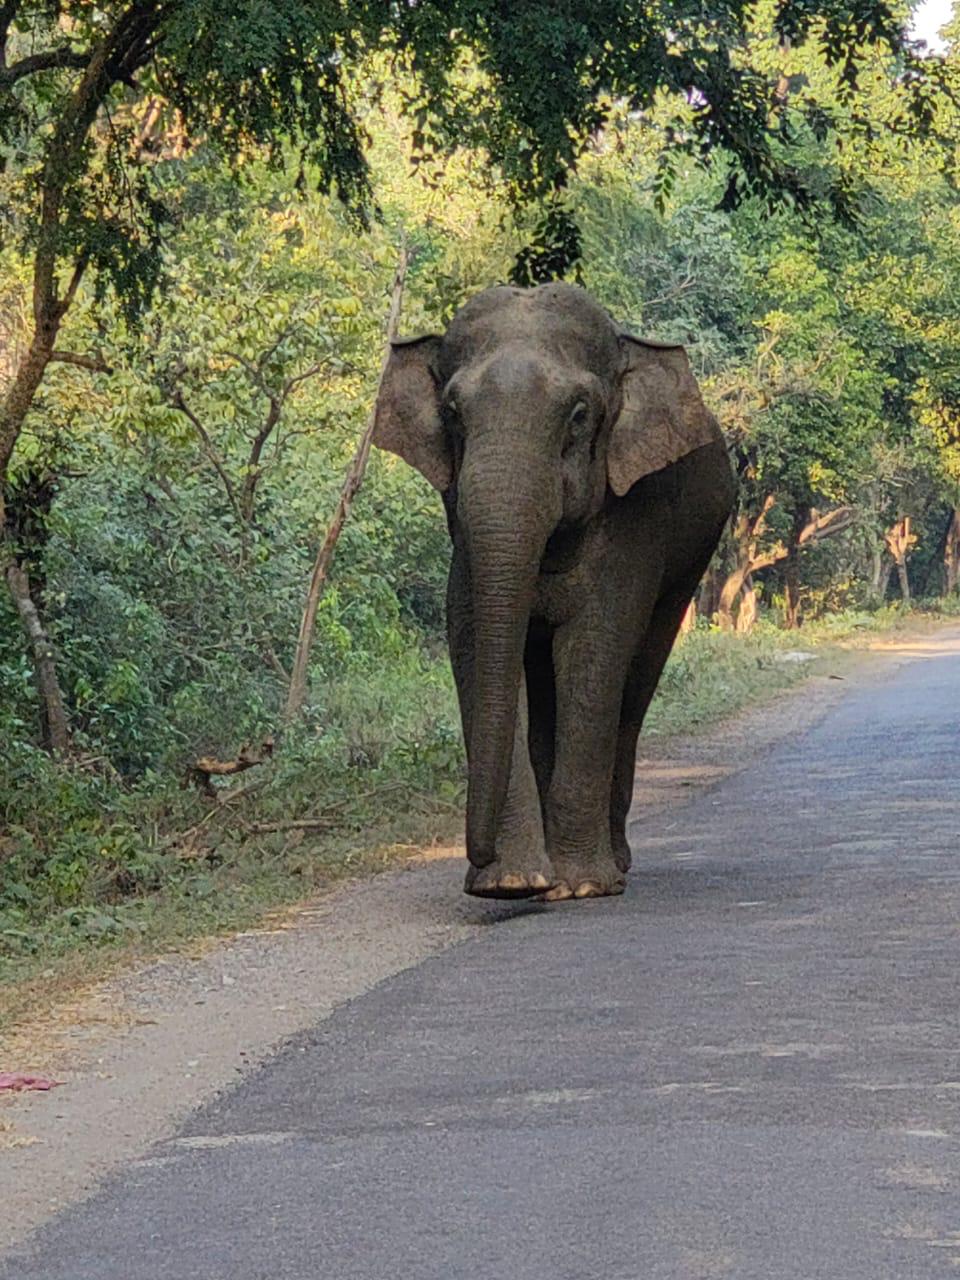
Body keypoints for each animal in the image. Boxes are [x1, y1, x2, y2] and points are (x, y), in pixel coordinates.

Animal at [373, 282, 735, 900]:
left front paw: (581, 886)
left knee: (637, 680)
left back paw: (615, 865)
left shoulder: (633, 515)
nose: (476, 857)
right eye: (452, 411)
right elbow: (474, 641)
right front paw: (512, 883)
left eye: (579, 413)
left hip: (691, 560)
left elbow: (594, 650)